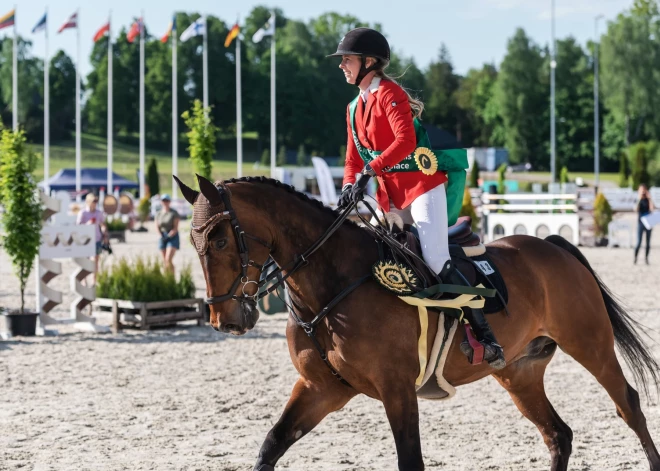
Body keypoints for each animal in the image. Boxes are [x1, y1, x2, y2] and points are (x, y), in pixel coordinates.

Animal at [175, 176, 660, 471]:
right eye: (194, 242)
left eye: (219, 240)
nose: (225, 319)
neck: (333, 280)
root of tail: (554, 245)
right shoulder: (321, 389)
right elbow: (270, 446)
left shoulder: (397, 389)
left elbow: (411, 460)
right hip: (519, 373)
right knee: (558, 434)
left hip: (590, 344)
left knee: (628, 405)